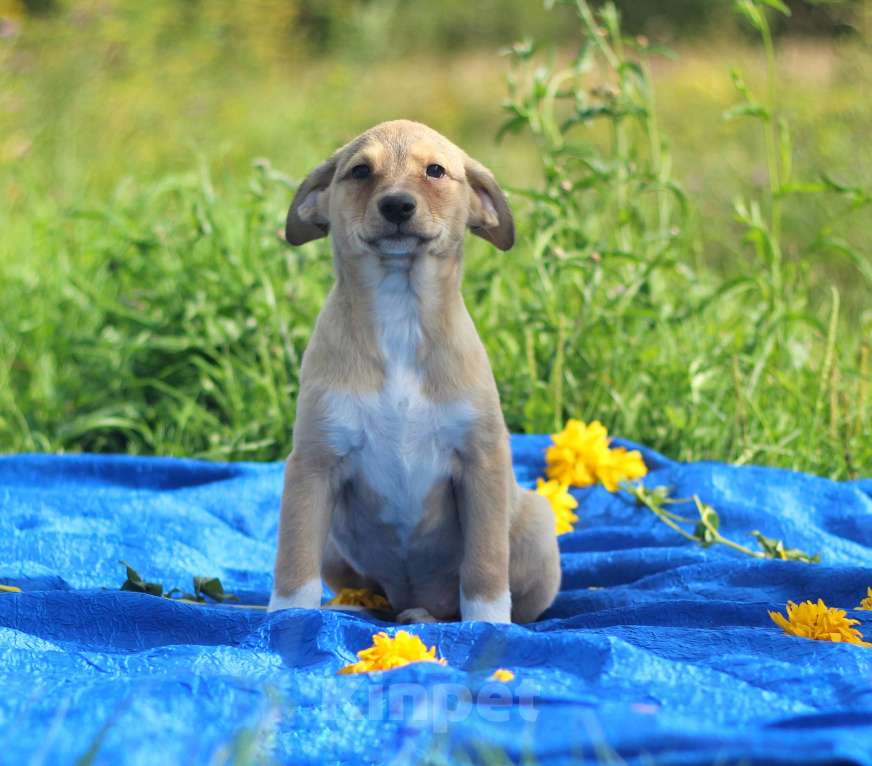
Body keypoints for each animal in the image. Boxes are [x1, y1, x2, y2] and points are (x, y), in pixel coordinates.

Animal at [270, 120, 564, 624]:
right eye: (360, 171)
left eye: (435, 171)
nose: (397, 206)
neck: (399, 313)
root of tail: (419, 601)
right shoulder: (313, 464)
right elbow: (294, 564)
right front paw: (284, 620)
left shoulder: (481, 462)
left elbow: (485, 567)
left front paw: (488, 627)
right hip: (334, 547)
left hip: (539, 527)